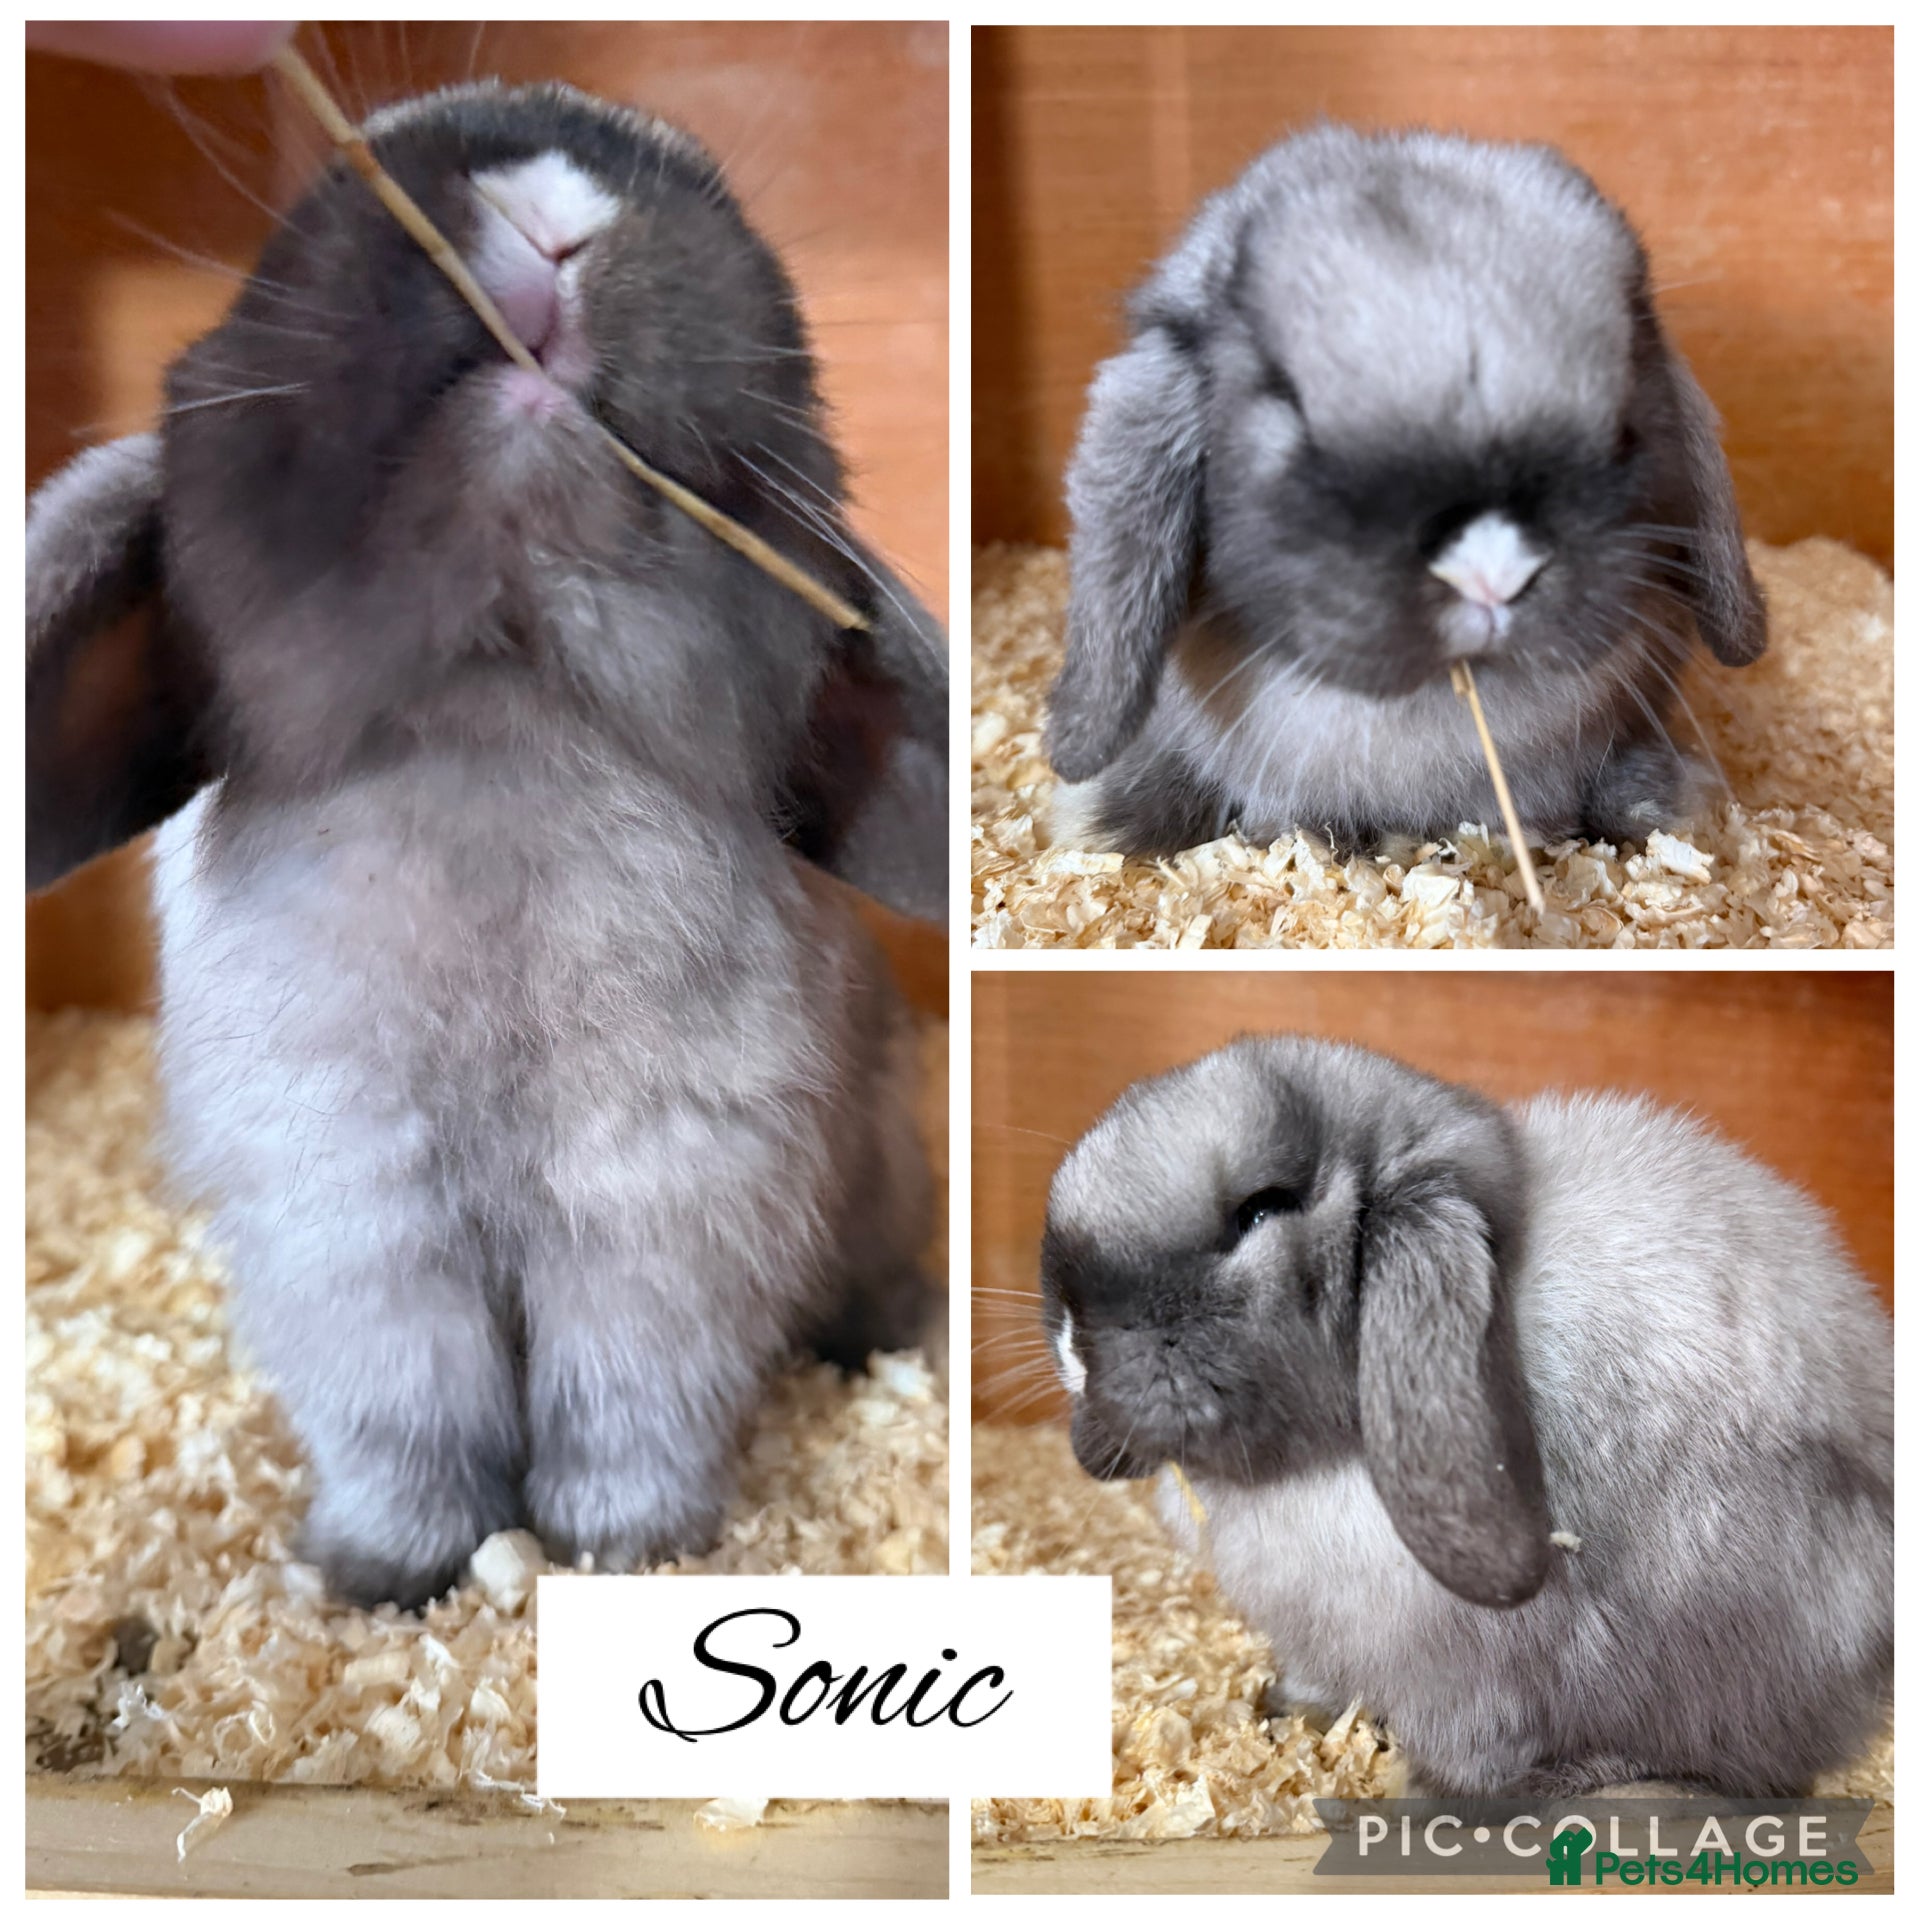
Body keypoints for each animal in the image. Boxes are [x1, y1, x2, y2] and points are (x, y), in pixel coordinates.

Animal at [25, 81, 948, 1609]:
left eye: (700, 182)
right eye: (326, 196)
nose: (553, 208)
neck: (497, 708)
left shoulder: (665, 1197)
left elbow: (629, 1398)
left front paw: (623, 1546)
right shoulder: (351, 1209)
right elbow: (407, 1415)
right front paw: (383, 1571)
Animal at [1040, 1035, 1893, 1799]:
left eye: (1263, 1209)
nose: (1073, 1338)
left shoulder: (1475, 1677)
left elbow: (1479, 1735)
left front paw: (1431, 1790)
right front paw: (1285, 1710)